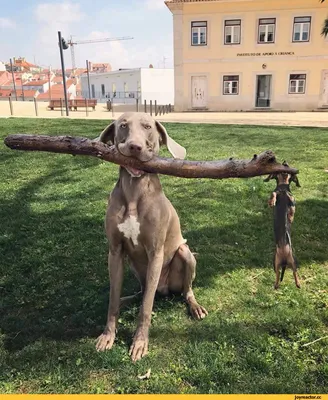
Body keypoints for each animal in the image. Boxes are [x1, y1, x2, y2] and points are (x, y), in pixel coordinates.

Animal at [95, 111, 208, 362]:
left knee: (183, 290)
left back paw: (195, 306)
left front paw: (139, 343)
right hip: (134, 266)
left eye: (147, 127)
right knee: (142, 291)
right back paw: (128, 298)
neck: (134, 192)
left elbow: (146, 308)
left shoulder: (155, 252)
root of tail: (165, 290)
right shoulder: (115, 252)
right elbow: (112, 300)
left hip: (185, 255)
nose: (134, 147)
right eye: (123, 126)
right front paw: (108, 336)